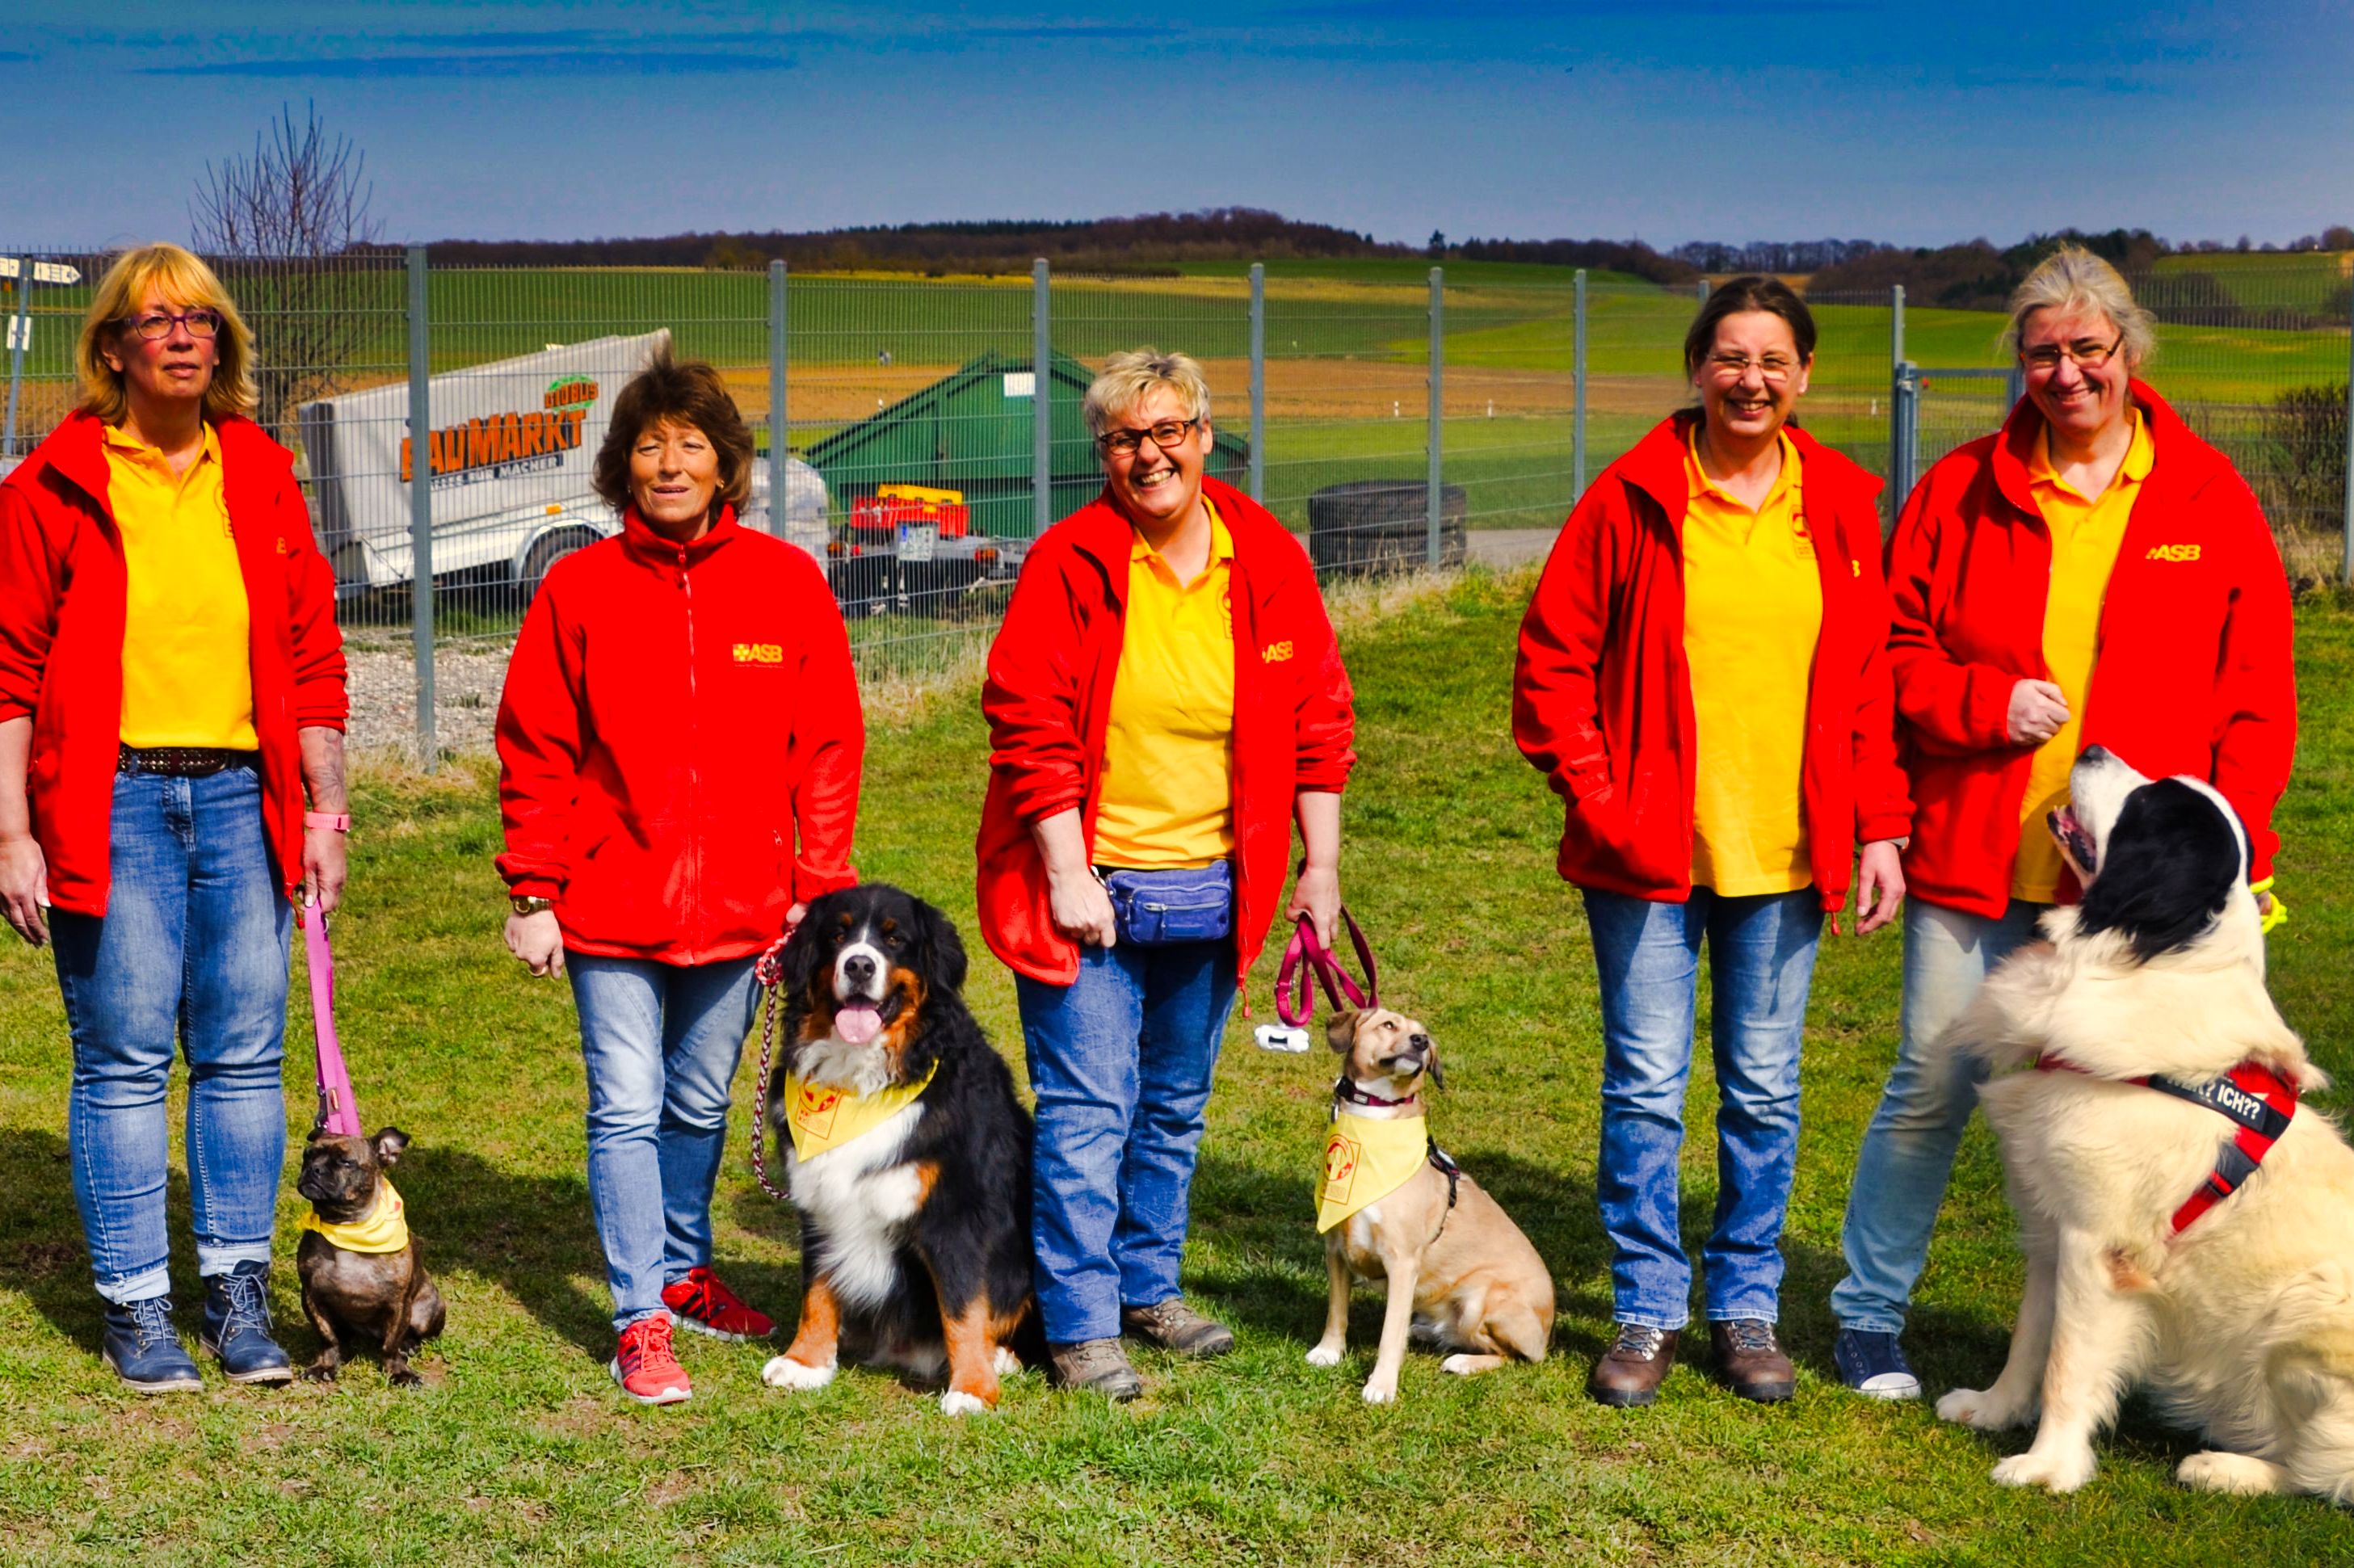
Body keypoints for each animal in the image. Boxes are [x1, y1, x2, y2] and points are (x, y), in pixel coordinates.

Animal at [763, 885, 1040, 1412]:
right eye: (837, 935)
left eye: (895, 940)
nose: (858, 965)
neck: (865, 1084)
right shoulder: (820, 1197)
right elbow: (817, 1287)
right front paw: (806, 1361)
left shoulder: (955, 1214)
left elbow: (963, 1304)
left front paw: (972, 1388)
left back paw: (1001, 1357)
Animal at [1318, 1007, 1553, 1394]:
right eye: (1388, 1025)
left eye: (1425, 1035)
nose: (1420, 1042)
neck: (1373, 1125)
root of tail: (1548, 1333)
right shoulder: (1337, 1247)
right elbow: (1337, 1311)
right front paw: (1328, 1352)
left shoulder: (1402, 1262)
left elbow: (1389, 1334)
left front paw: (1382, 1386)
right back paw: (1429, 1332)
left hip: (1479, 1301)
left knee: (1512, 1356)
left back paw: (1464, 1362)